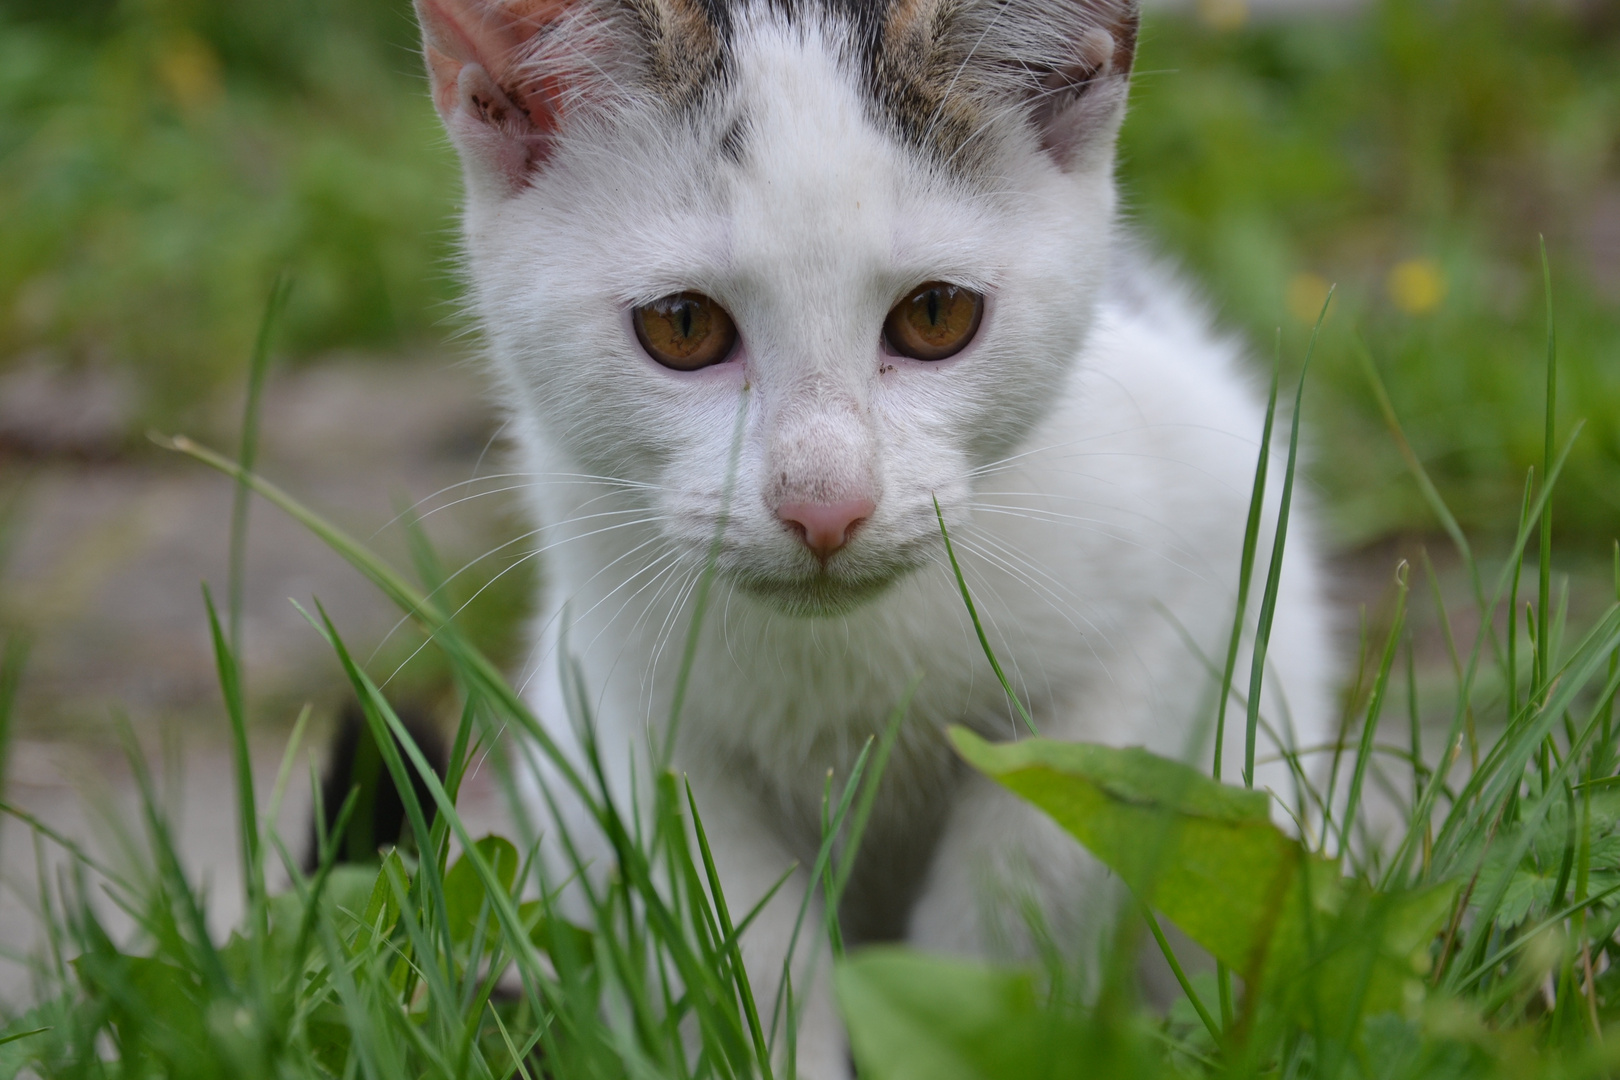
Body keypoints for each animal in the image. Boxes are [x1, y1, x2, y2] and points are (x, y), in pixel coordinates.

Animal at [411, 2, 1334, 1075]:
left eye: (937, 314)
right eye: (680, 325)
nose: (825, 504)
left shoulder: (1195, 551)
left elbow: (1035, 850)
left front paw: (957, 1016)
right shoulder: (618, 704)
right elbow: (728, 925)